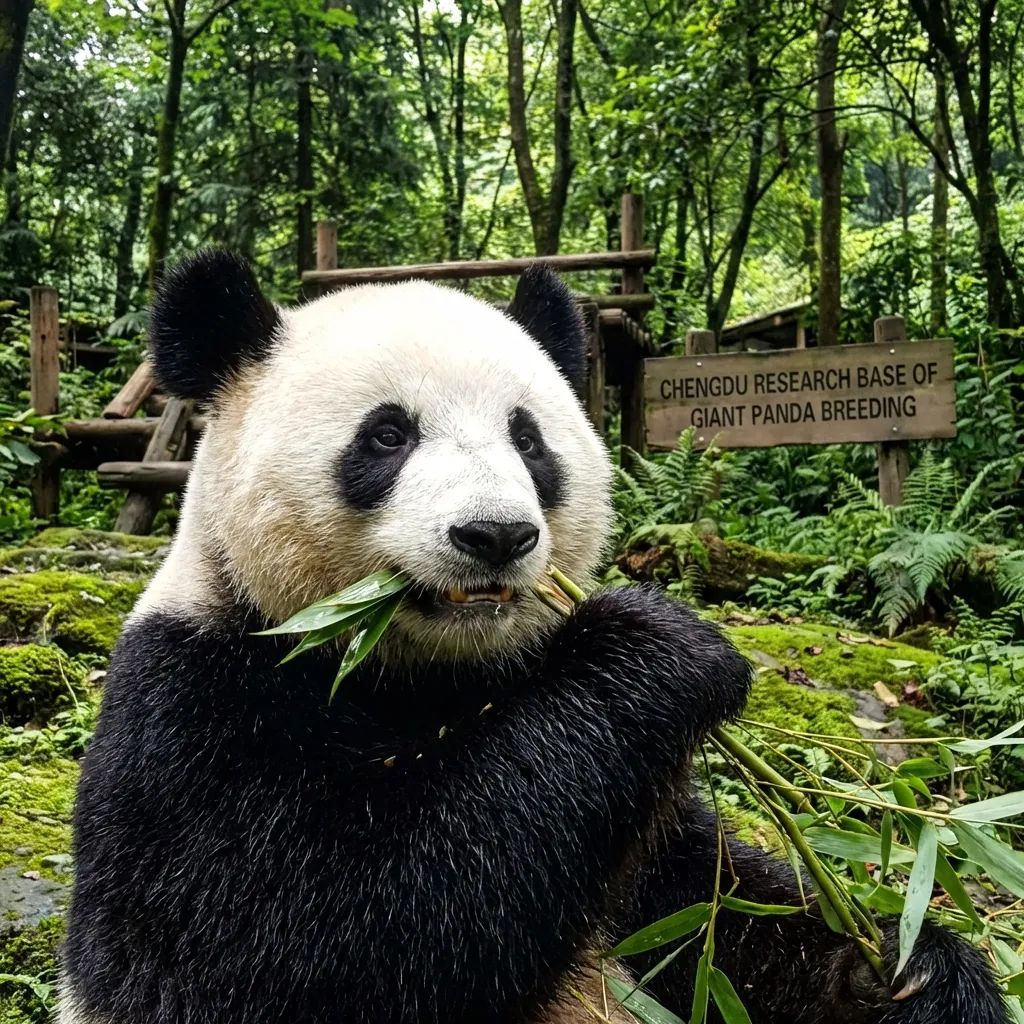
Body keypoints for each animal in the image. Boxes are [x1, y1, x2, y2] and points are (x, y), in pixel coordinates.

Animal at [59, 250, 1007, 1024]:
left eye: (529, 438)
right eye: (387, 435)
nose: (495, 535)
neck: (415, 672)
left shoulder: (631, 820)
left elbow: (712, 912)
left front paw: (904, 973)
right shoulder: (195, 710)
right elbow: (314, 939)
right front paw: (659, 650)